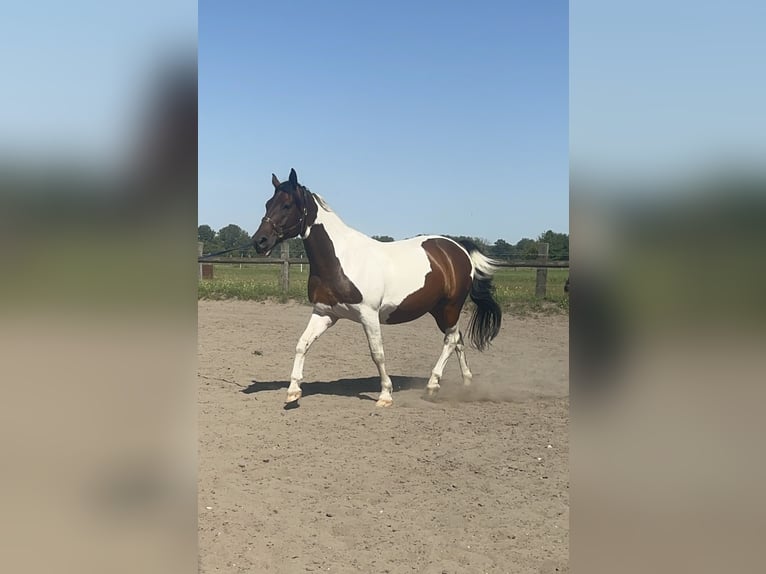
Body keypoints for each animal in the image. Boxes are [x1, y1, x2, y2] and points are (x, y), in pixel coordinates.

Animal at [252, 169, 502, 407]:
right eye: (267, 203)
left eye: (286, 205)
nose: (259, 241)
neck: (341, 260)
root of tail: (458, 248)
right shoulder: (325, 313)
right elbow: (302, 344)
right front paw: (293, 392)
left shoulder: (369, 315)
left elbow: (377, 354)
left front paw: (385, 395)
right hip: (439, 310)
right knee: (457, 339)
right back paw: (466, 384)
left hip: (450, 307)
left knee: (450, 341)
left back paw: (432, 386)